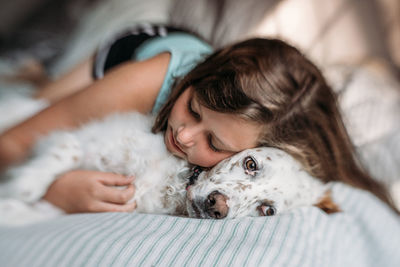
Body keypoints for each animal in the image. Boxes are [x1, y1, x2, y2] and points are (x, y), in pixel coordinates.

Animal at [0, 111, 340, 224]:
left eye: (267, 210)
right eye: (250, 163)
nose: (217, 206)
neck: (170, 184)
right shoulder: (83, 139)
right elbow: (65, 155)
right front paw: (23, 184)